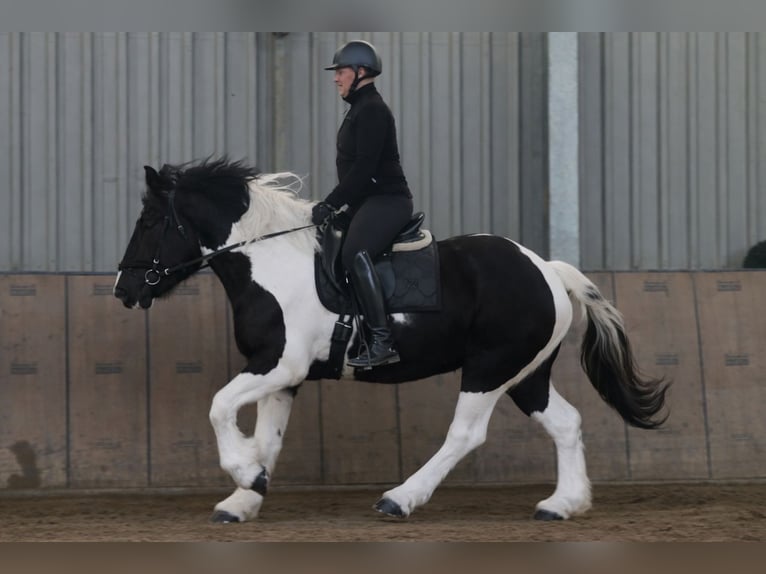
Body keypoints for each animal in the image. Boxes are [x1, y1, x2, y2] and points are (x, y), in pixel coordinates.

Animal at [114, 158, 669, 523]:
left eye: (149, 221)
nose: (123, 289)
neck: (268, 263)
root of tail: (547, 269)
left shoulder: (279, 364)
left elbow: (218, 406)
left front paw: (246, 474)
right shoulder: (283, 375)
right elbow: (267, 437)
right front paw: (246, 494)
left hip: (489, 368)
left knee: (466, 434)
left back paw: (399, 498)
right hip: (525, 373)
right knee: (566, 422)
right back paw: (563, 504)